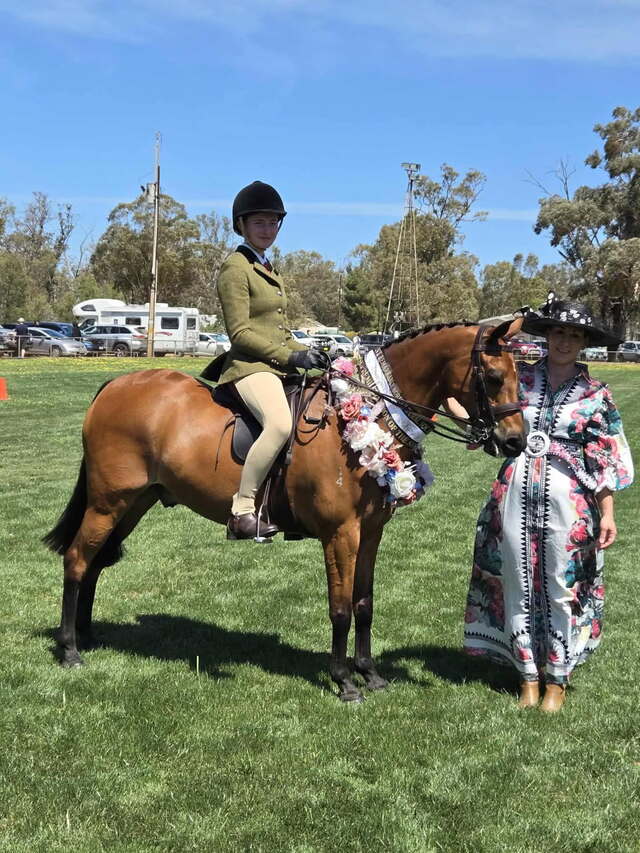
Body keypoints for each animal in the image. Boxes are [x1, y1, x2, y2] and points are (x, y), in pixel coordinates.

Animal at [44, 318, 525, 702]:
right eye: (494, 376)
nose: (516, 441)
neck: (367, 413)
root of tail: (115, 386)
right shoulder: (341, 534)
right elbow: (340, 608)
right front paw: (344, 681)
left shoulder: (371, 533)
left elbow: (365, 603)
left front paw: (370, 674)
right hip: (108, 501)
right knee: (77, 560)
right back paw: (69, 649)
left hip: (134, 502)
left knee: (95, 563)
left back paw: (87, 635)